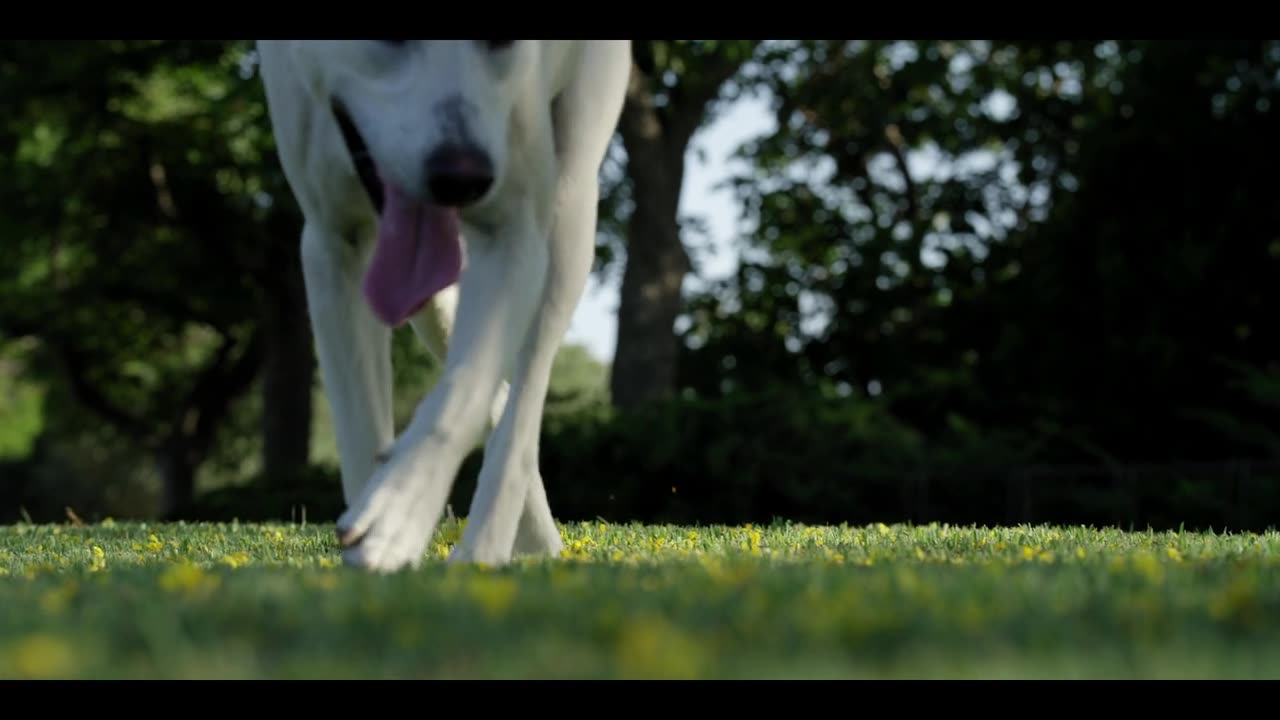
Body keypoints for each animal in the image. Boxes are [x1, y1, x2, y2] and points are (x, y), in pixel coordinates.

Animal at [258, 39, 634, 568]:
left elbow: (467, 386)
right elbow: (359, 425)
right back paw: (534, 532)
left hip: (571, 206)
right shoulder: (332, 243)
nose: (464, 176)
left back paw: (486, 547)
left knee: (524, 403)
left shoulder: (513, 227)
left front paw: (398, 512)